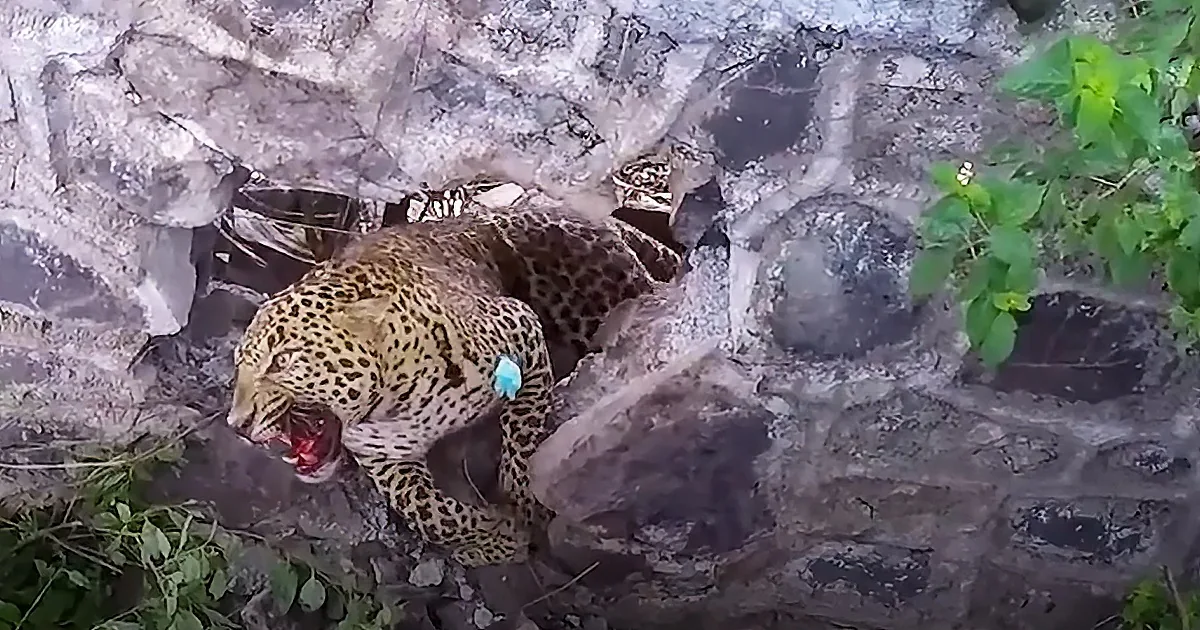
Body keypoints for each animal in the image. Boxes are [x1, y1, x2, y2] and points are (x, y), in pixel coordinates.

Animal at [226, 202, 681, 567]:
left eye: (282, 360)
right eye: (239, 369)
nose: (237, 424)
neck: (394, 400)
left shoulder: (522, 328)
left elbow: (524, 435)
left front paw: (522, 504)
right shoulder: (387, 459)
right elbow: (430, 513)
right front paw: (497, 538)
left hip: (592, 300)